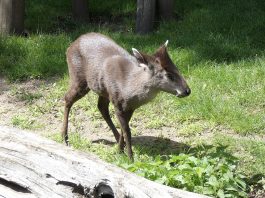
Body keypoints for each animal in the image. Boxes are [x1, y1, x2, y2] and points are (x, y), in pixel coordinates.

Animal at [62, 32, 190, 159]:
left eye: (177, 68)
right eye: (169, 75)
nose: (187, 91)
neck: (129, 86)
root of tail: (70, 46)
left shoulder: (129, 107)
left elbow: (125, 129)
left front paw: (119, 150)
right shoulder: (118, 103)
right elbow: (127, 131)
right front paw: (130, 158)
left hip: (103, 89)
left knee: (101, 107)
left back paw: (116, 138)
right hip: (78, 77)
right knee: (67, 99)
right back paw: (65, 138)